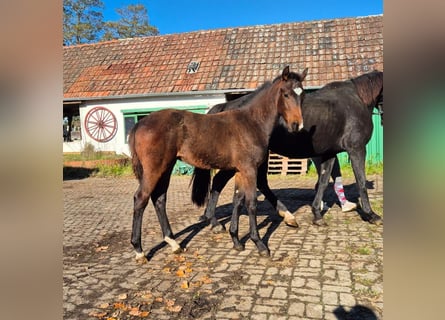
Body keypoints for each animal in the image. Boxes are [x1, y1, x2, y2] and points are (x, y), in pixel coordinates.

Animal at [127, 65, 306, 260]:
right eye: (286, 94)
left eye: (302, 94)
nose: (297, 126)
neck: (251, 123)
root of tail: (140, 123)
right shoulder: (249, 169)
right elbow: (251, 203)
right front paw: (259, 244)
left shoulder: (240, 171)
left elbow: (238, 200)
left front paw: (236, 240)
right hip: (154, 168)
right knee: (140, 198)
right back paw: (139, 251)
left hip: (166, 167)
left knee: (159, 199)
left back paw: (173, 243)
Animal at [193, 70, 384, 228]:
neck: (357, 99)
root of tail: (225, 107)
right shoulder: (356, 148)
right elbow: (360, 181)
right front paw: (371, 214)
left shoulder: (329, 153)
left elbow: (323, 181)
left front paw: (317, 213)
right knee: (222, 181)